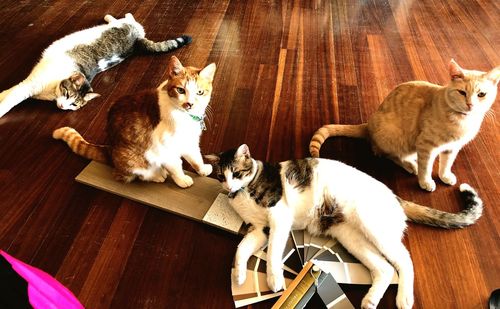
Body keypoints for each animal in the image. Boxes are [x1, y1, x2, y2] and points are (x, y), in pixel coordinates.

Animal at [0, 12, 191, 118]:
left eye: (74, 105)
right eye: (67, 94)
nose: (62, 107)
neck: (51, 92)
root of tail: (137, 42)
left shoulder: (29, 87)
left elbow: (9, 97)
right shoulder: (28, 85)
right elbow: (9, 94)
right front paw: (3, 96)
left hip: (126, 26)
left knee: (128, 18)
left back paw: (111, 17)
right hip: (124, 26)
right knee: (127, 18)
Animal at [53, 55, 217, 188]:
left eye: (200, 92)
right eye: (181, 90)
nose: (190, 104)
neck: (185, 117)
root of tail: (110, 149)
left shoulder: (189, 141)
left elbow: (196, 158)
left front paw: (202, 170)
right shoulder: (165, 148)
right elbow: (176, 165)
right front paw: (182, 180)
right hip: (134, 159)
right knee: (132, 175)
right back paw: (157, 175)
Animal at [205, 144, 482, 308]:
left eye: (237, 173)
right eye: (220, 176)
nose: (228, 186)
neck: (244, 192)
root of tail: (395, 196)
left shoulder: (278, 219)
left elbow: (273, 253)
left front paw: (274, 281)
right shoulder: (259, 230)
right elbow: (240, 249)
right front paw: (239, 276)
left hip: (373, 227)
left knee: (404, 260)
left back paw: (404, 298)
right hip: (352, 238)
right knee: (384, 269)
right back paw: (370, 300)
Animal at [308, 58, 500, 190]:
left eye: (481, 94)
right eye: (462, 92)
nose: (471, 104)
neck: (462, 120)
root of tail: (369, 124)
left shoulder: (452, 148)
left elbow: (446, 164)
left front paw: (445, 176)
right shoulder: (426, 145)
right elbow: (426, 167)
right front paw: (425, 181)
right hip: (397, 137)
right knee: (389, 154)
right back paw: (411, 165)